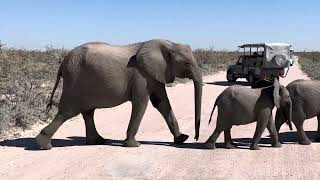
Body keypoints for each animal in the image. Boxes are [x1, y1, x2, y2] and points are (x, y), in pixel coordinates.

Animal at [36, 39, 202, 150]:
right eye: (187, 63)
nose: (195, 137)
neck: (169, 43)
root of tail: (63, 61)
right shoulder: (141, 75)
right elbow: (141, 103)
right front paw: (134, 145)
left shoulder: (153, 74)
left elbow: (161, 102)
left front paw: (181, 139)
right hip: (74, 81)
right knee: (67, 112)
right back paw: (43, 145)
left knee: (88, 113)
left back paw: (97, 141)